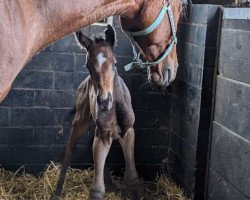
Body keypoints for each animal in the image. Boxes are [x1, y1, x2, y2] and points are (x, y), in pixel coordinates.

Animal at [52, 25, 140, 200]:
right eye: (87, 65)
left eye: (115, 63)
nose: (104, 101)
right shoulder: (103, 136)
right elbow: (97, 188)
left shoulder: (128, 132)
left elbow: (132, 177)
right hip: (81, 121)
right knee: (70, 148)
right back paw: (57, 192)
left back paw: (111, 185)